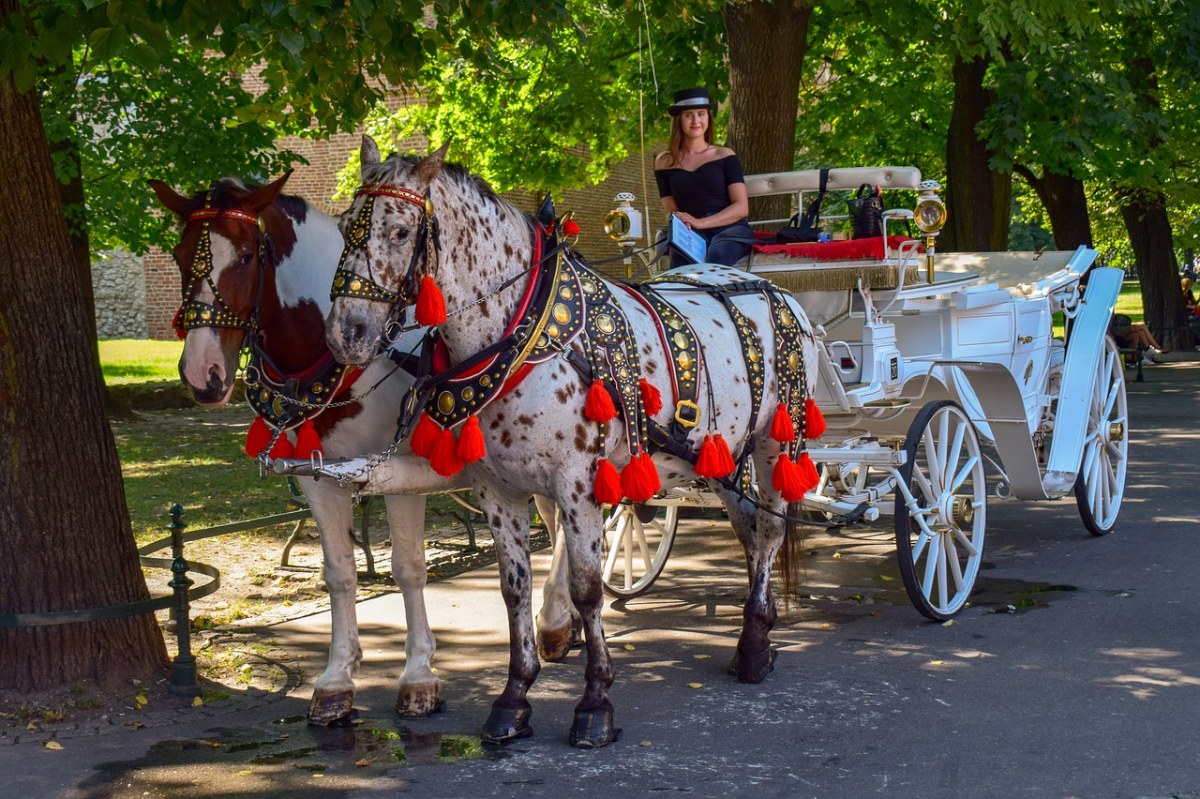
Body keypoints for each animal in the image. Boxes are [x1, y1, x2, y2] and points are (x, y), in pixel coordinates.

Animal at [321, 133, 825, 743]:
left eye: (398, 232)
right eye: (344, 224)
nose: (345, 335)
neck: (521, 330)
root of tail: (780, 293)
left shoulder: (579, 482)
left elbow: (588, 588)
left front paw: (595, 701)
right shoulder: (497, 488)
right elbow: (513, 587)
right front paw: (514, 697)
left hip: (779, 442)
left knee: (772, 530)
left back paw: (752, 643)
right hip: (722, 454)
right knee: (750, 533)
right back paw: (760, 630)